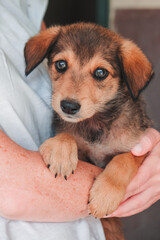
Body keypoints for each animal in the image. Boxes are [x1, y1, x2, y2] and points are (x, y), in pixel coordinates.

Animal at [24, 22, 152, 238]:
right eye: (61, 64)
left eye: (101, 73)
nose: (68, 106)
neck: (95, 123)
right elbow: (66, 135)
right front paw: (61, 155)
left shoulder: (140, 147)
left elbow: (123, 160)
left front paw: (105, 195)